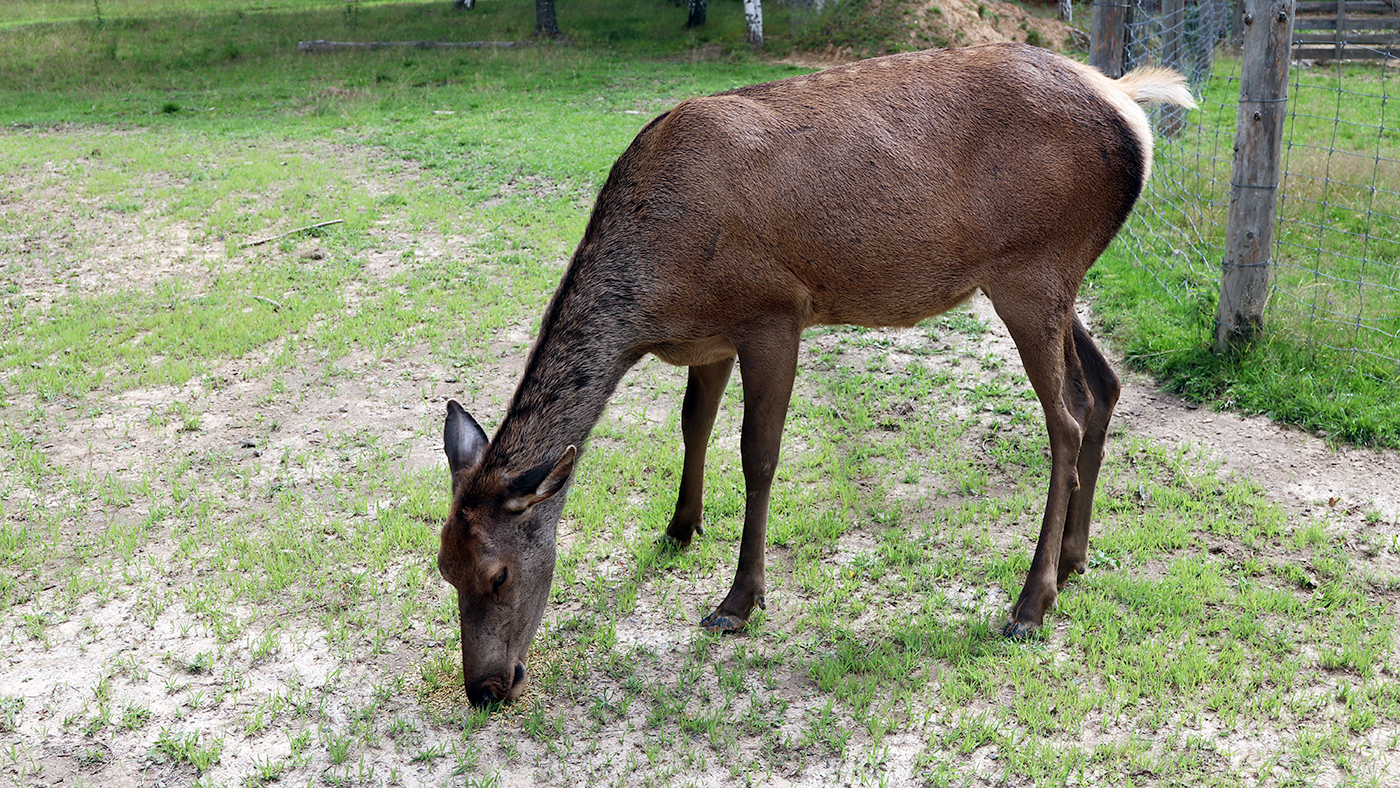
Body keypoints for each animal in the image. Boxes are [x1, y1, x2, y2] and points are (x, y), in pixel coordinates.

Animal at [436, 41, 1192, 708]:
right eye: (443, 567)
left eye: (498, 575)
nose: (486, 689)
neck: (656, 299)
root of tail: (1131, 106)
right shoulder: (708, 339)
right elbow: (693, 427)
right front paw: (678, 528)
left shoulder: (773, 311)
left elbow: (759, 453)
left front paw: (738, 601)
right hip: (1050, 278)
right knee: (1103, 388)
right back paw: (1074, 558)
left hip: (1034, 267)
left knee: (1065, 418)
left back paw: (1031, 602)